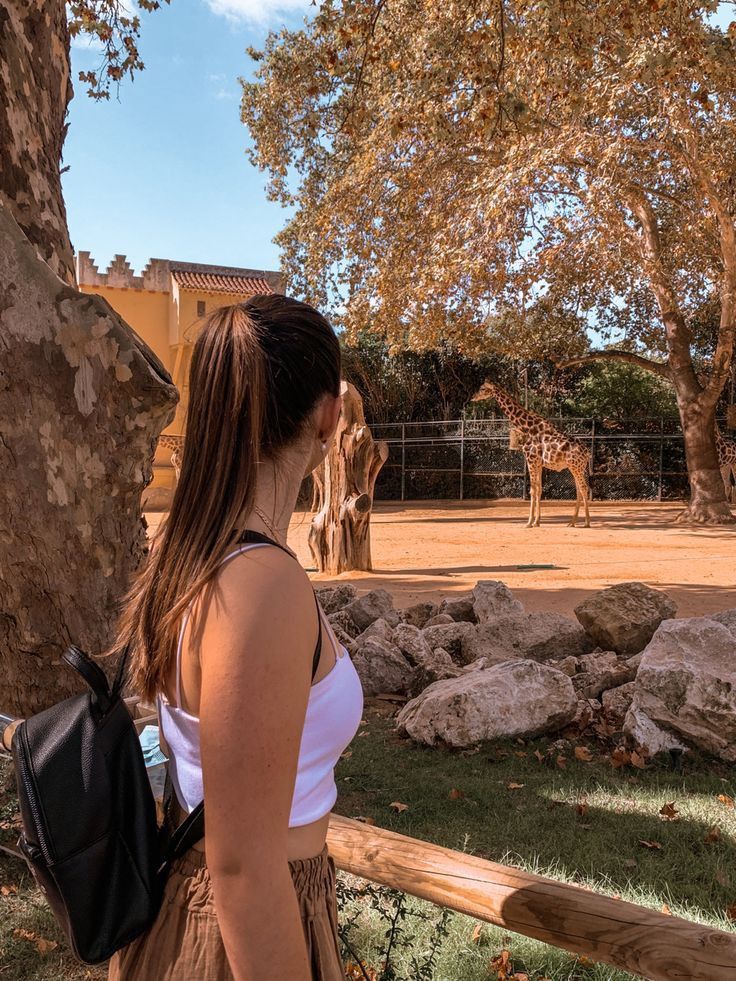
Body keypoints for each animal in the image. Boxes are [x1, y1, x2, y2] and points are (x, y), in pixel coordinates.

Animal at [472, 378, 592, 528]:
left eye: (482, 388)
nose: (473, 397)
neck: (527, 427)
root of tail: (587, 453)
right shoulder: (538, 463)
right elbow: (539, 489)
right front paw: (537, 521)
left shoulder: (531, 460)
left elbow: (532, 490)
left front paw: (529, 522)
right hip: (575, 467)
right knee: (578, 490)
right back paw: (572, 522)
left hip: (576, 467)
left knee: (583, 488)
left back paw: (586, 523)